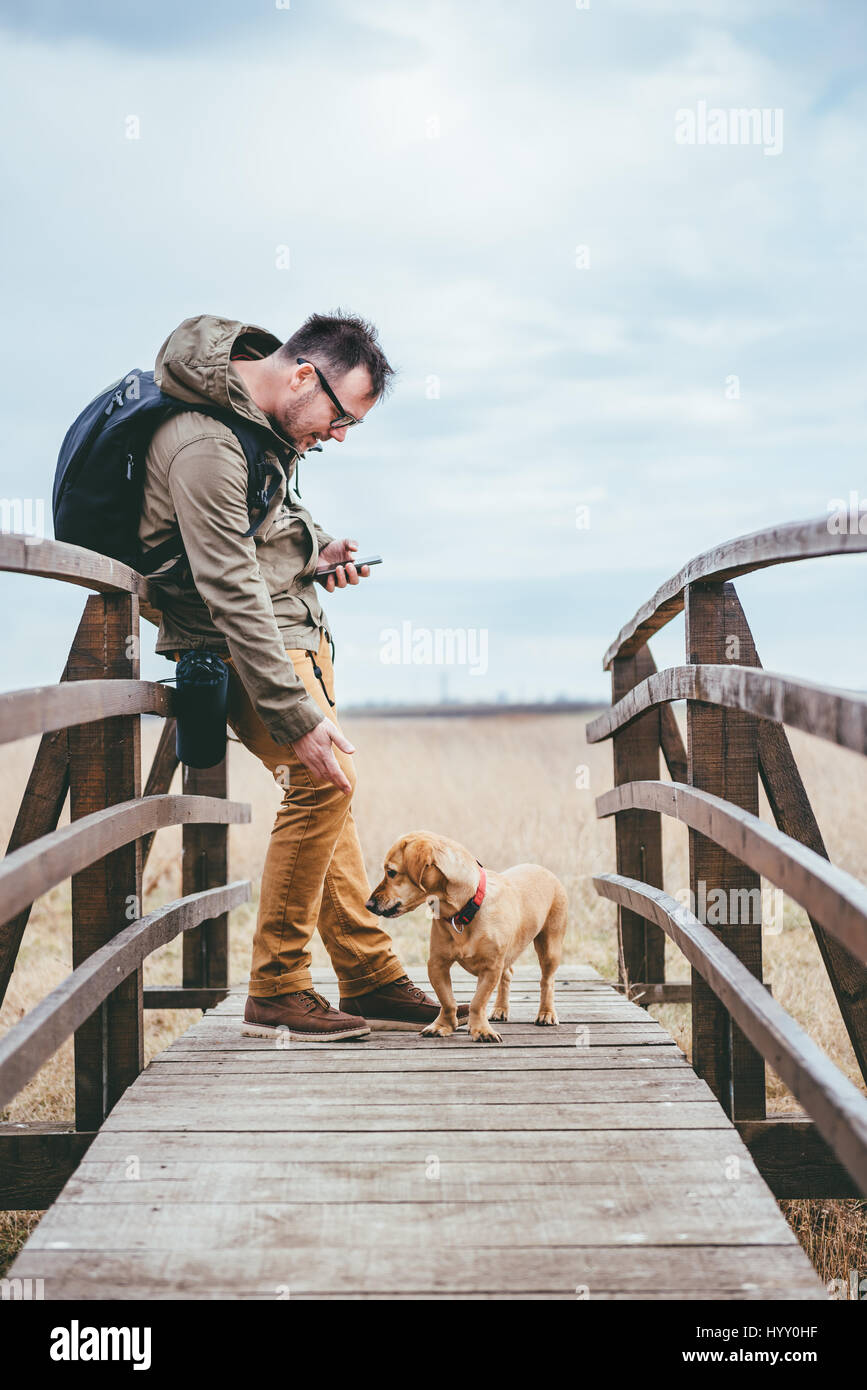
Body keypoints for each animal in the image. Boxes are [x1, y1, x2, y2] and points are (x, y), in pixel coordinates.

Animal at [366, 822, 566, 1045]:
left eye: (391, 872)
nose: (368, 905)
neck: (463, 911)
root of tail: (542, 869)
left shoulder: (490, 968)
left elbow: (477, 1002)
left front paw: (481, 1030)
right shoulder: (437, 964)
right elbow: (447, 1000)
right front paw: (442, 1026)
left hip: (549, 947)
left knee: (547, 981)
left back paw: (546, 1013)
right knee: (507, 975)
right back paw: (500, 1009)